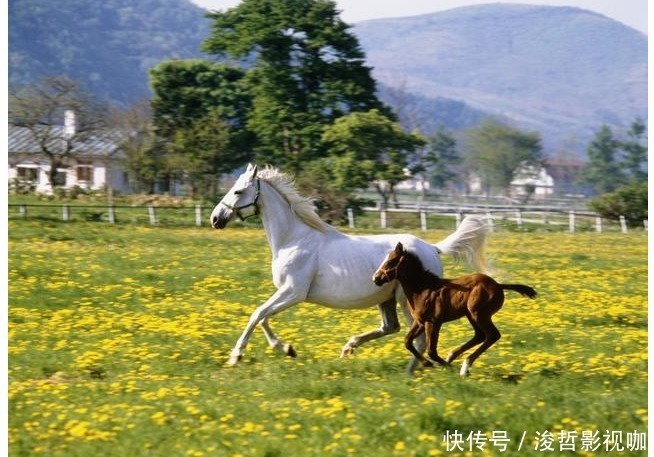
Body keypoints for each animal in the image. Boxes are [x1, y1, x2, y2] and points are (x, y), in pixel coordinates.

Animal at [210, 163, 486, 370]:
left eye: (237, 191)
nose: (215, 219)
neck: (294, 239)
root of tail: (432, 248)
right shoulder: (286, 293)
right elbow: (264, 317)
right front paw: (287, 349)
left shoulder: (293, 292)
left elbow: (257, 314)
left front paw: (236, 356)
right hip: (386, 299)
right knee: (391, 327)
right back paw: (349, 348)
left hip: (407, 300)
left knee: (416, 338)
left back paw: (413, 371)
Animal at [374, 242, 540, 374]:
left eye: (391, 261)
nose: (376, 278)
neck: (423, 289)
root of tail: (498, 285)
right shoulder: (420, 321)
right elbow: (407, 341)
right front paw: (428, 363)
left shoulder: (433, 322)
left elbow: (431, 350)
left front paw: (443, 366)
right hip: (471, 315)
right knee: (480, 335)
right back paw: (452, 356)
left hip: (479, 313)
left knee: (492, 335)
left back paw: (464, 367)